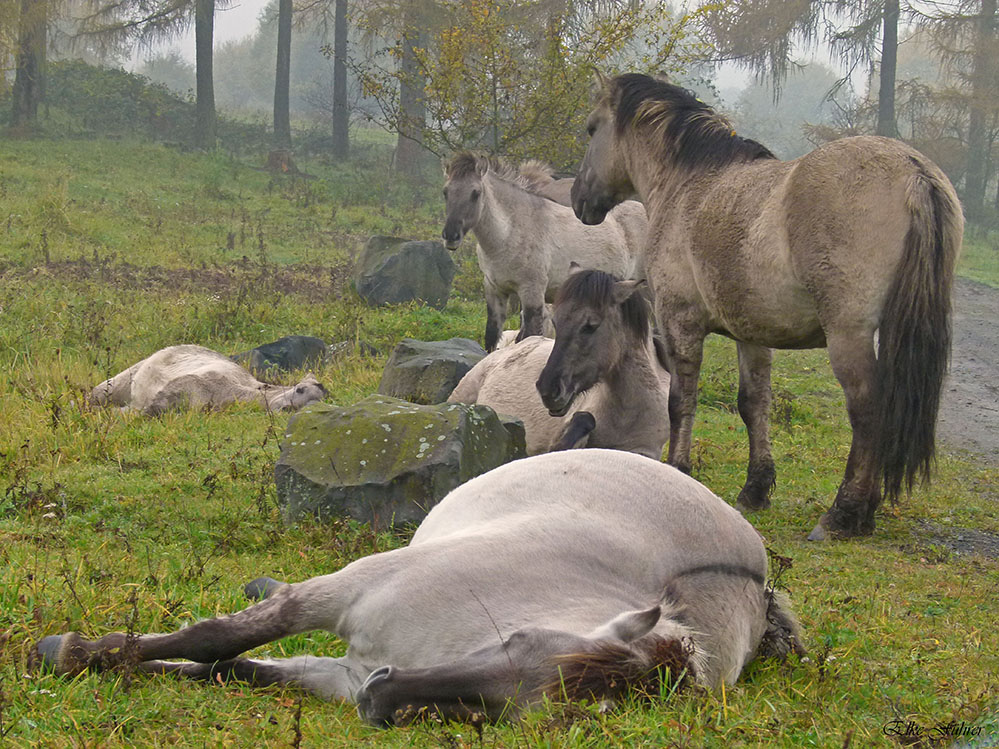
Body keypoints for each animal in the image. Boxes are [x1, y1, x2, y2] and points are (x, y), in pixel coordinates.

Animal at [29, 448, 804, 728]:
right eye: (513, 637)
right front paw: (73, 651)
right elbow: (218, 637)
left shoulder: (337, 672)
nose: (381, 700)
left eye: (516, 716)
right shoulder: (343, 590)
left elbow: (234, 669)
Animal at [444, 153, 648, 354]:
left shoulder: (532, 293)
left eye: (475, 193)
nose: (450, 235)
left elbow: (529, 337)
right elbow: (492, 339)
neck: (510, 232)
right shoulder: (495, 291)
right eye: (445, 192)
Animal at [576, 73, 964, 540]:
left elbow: (681, 401)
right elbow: (754, 404)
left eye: (592, 129)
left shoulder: (679, 322)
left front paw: (679, 469)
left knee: (868, 410)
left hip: (848, 336)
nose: (578, 199)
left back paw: (844, 514)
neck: (690, 185)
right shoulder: (752, 333)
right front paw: (755, 489)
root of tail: (913, 170)